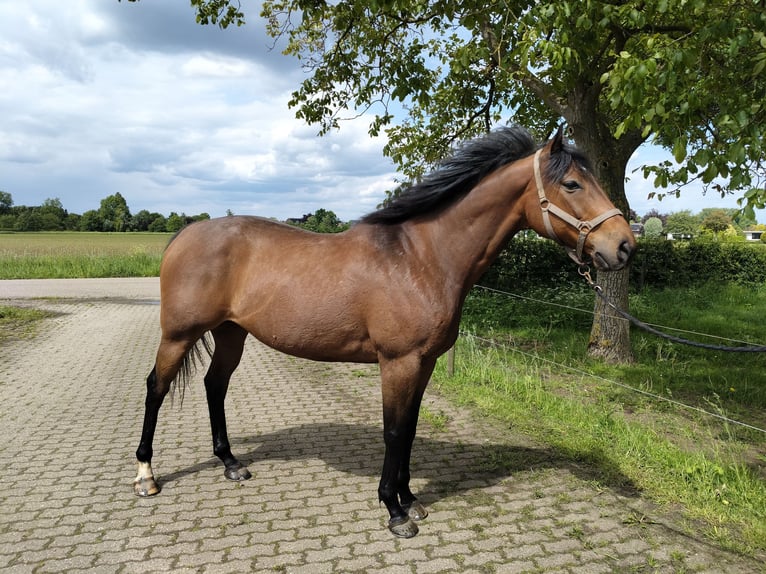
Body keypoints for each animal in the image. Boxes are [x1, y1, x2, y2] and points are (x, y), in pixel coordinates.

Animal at [133, 125, 635, 538]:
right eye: (572, 184)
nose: (624, 247)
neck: (421, 258)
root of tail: (184, 235)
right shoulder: (398, 362)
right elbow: (394, 431)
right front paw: (394, 511)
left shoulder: (425, 363)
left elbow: (409, 428)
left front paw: (411, 499)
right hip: (179, 335)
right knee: (156, 387)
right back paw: (146, 477)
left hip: (231, 333)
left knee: (214, 385)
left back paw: (231, 463)